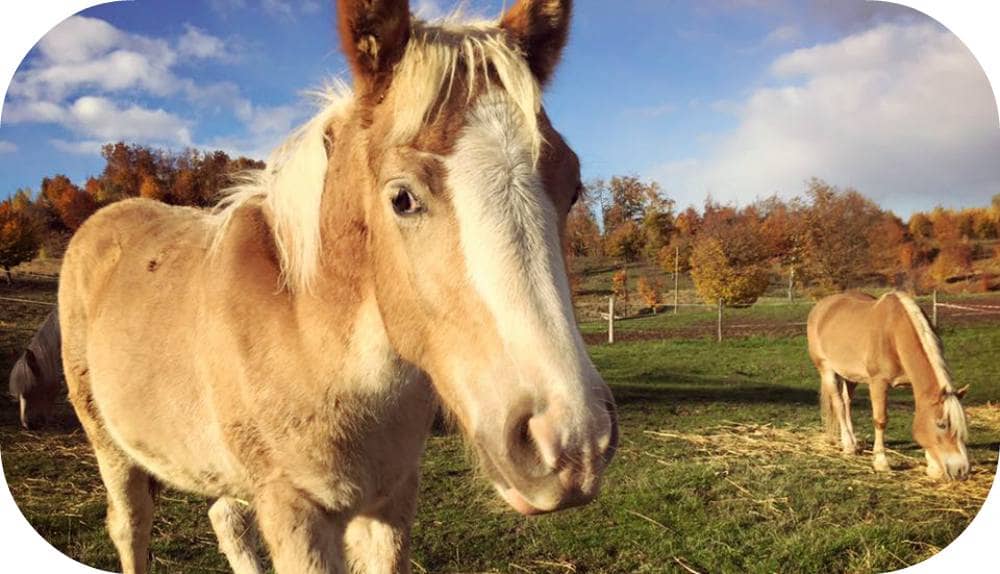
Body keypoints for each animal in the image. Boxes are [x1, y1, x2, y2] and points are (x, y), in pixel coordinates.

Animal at [60, 1, 616, 574]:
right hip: (111, 447)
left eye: (573, 188)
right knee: (131, 526)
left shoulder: (391, 501)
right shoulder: (295, 514)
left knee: (227, 522)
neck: (312, 341)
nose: (570, 444)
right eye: (402, 198)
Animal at [804, 292, 968, 482]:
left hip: (851, 376)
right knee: (838, 404)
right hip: (826, 369)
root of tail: (821, 306)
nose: (962, 470)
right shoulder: (878, 382)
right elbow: (880, 420)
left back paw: (854, 442)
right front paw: (881, 463)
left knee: (846, 402)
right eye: (941, 425)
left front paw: (933, 468)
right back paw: (848, 445)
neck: (894, 335)